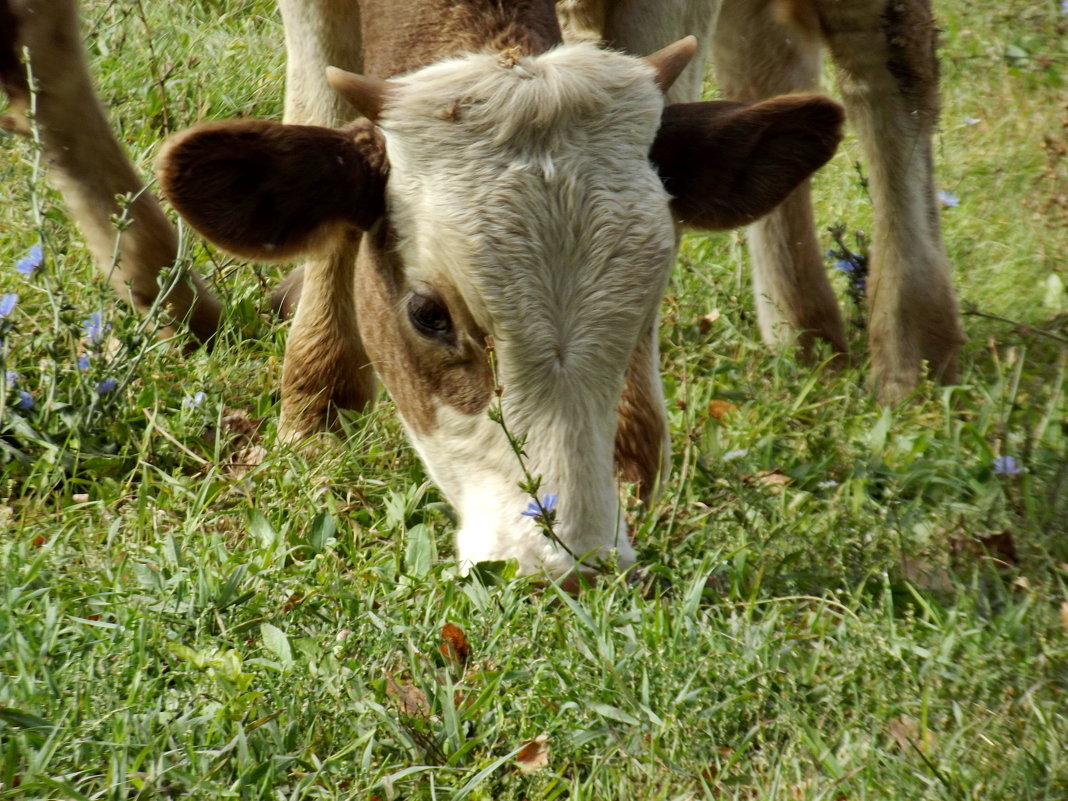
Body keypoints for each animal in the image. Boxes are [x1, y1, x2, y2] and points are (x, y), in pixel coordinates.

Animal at [0, 0, 965, 576]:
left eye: (650, 296)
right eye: (428, 315)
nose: (561, 566)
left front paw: (634, 459)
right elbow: (322, 107)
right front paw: (314, 401)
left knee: (888, 57)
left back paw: (911, 341)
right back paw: (803, 325)